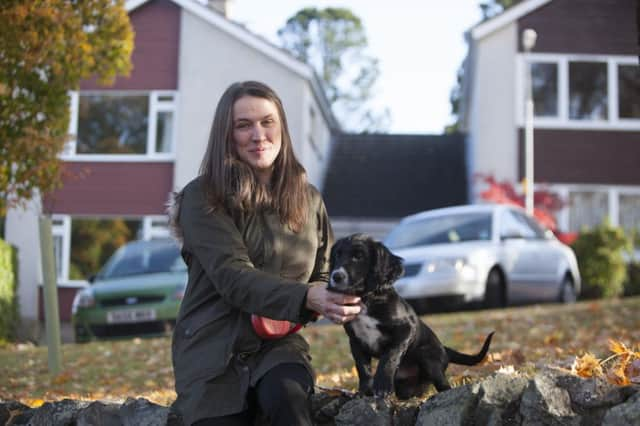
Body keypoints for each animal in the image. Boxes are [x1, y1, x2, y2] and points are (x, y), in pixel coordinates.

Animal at [328, 233, 498, 400]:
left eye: (358, 256)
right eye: (337, 255)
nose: (336, 276)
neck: (365, 299)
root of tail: (444, 348)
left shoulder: (406, 329)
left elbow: (389, 357)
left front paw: (382, 387)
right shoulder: (355, 341)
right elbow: (362, 367)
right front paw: (364, 392)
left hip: (428, 358)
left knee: (444, 386)